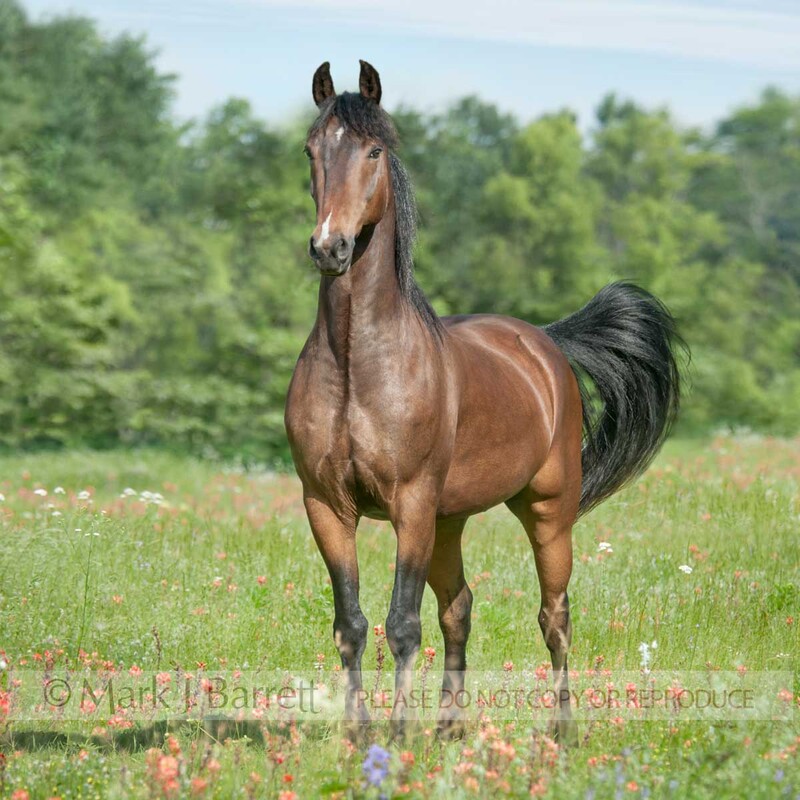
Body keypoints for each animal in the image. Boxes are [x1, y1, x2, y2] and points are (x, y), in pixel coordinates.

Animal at [285, 60, 682, 742]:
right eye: (312, 150)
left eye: (373, 151)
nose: (330, 248)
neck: (359, 367)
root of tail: (544, 343)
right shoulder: (327, 506)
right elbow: (353, 624)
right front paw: (360, 734)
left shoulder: (411, 504)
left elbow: (402, 624)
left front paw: (396, 736)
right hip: (448, 520)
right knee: (460, 608)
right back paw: (449, 726)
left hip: (545, 510)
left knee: (554, 615)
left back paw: (562, 729)